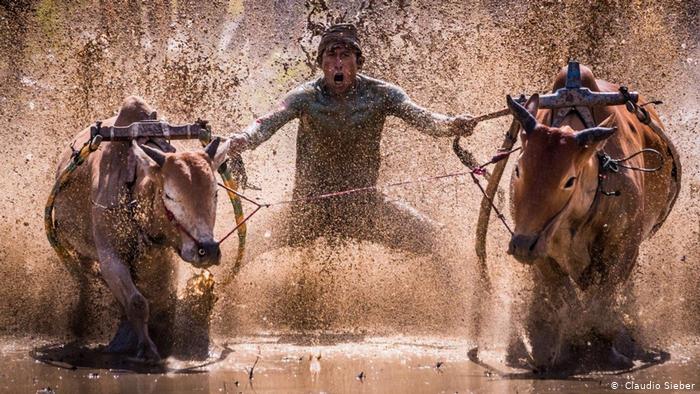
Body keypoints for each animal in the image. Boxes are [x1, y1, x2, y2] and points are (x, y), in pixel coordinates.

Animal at [55, 95, 230, 360]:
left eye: (215, 193)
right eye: (169, 195)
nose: (207, 250)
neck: (134, 187)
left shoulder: (164, 257)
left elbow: (161, 299)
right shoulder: (110, 258)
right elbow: (137, 302)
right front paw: (146, 348)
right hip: (77, 250)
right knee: (86, 279)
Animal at [506, 65, 680, 372]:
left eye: (568, 180)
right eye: (518, 170)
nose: (522, 245)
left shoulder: (624, 247)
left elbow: (602, 302)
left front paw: (606, 351)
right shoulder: (542, 254)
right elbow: (567, 302)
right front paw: (565, 351)